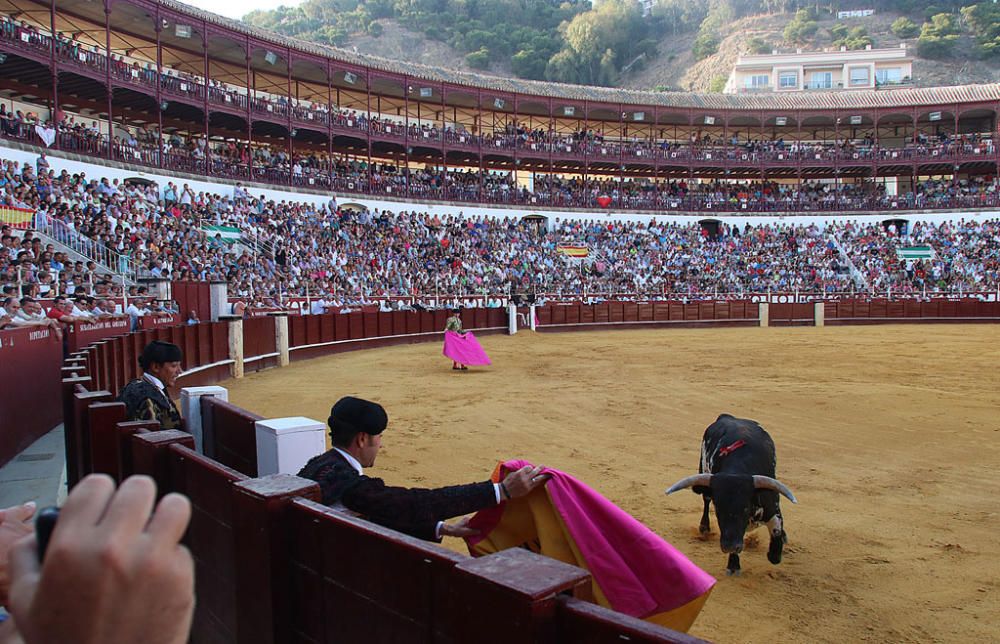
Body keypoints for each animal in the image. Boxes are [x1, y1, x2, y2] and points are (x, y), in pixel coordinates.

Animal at [664, 416, 796, 576]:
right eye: (718, 509)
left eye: (745, 508)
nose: (729, 546)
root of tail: (727, 416)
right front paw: (733, 565)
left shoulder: (772, 509)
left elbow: (776, 533)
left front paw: (775, 553)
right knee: (706, 500)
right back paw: (704, 527)